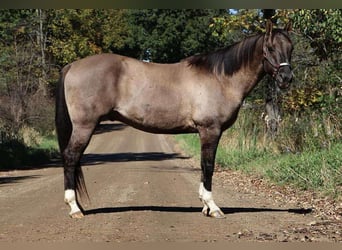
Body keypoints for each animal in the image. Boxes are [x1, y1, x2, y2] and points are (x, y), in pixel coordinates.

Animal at [56, 20, 294, 218]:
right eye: (270, 48)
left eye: (290, 48)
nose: (286, 79)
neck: (220, 78)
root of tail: (72, 65)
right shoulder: (210, 130)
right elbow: (208, 165)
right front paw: (213, 207)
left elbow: (203, 165)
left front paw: (205, 206)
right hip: (85, 126)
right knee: (71, 157)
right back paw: (75, 208)